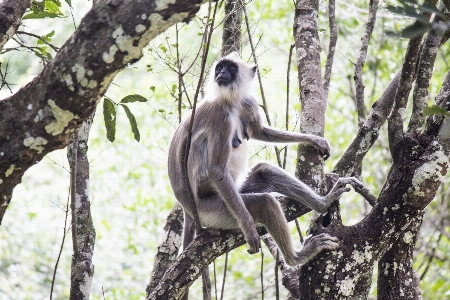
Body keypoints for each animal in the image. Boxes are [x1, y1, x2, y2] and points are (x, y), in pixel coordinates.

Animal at [169, 51, 362, 268]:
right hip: (213, 210)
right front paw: (250, 230)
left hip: (233, 193)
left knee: (264, 171)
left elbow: (259, 131)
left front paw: (314, 140)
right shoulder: (220, 116)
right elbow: (217, 171)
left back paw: (322, 204)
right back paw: (296, 258)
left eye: (230, 68)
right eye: (220, 68)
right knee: (265, 202)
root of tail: (187, 208)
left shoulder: (247, 102)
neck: (231, 100)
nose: (222, 73)